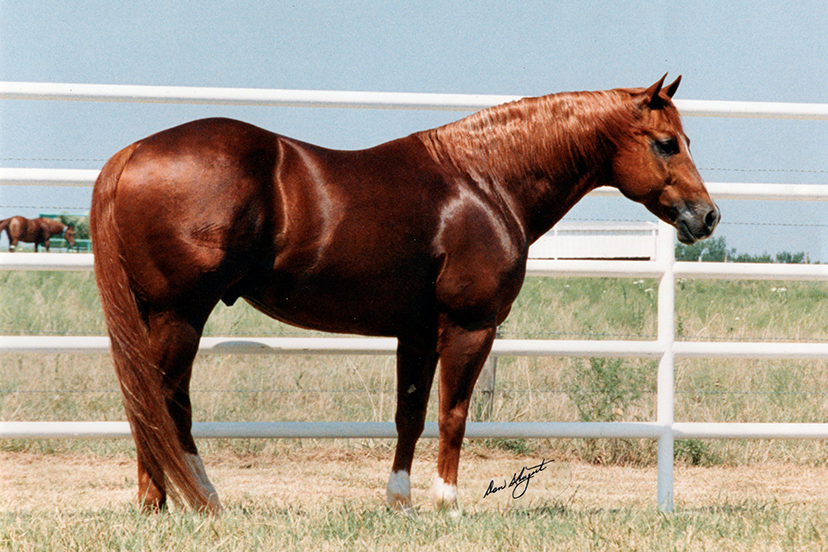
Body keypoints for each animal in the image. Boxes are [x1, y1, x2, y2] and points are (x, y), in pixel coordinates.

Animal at [90, 75, 718, 514]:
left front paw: (400, 501)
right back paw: (176, 502)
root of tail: (131, 154)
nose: (707, 216)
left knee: (156, 404)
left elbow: (410, 416)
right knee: (161, 403)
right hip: (179, 313)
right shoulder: (470, 327)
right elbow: (454, 413)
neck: (484, 182)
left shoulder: (416, 334)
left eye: (688, 139)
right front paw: (448, 503)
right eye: (666, 143)